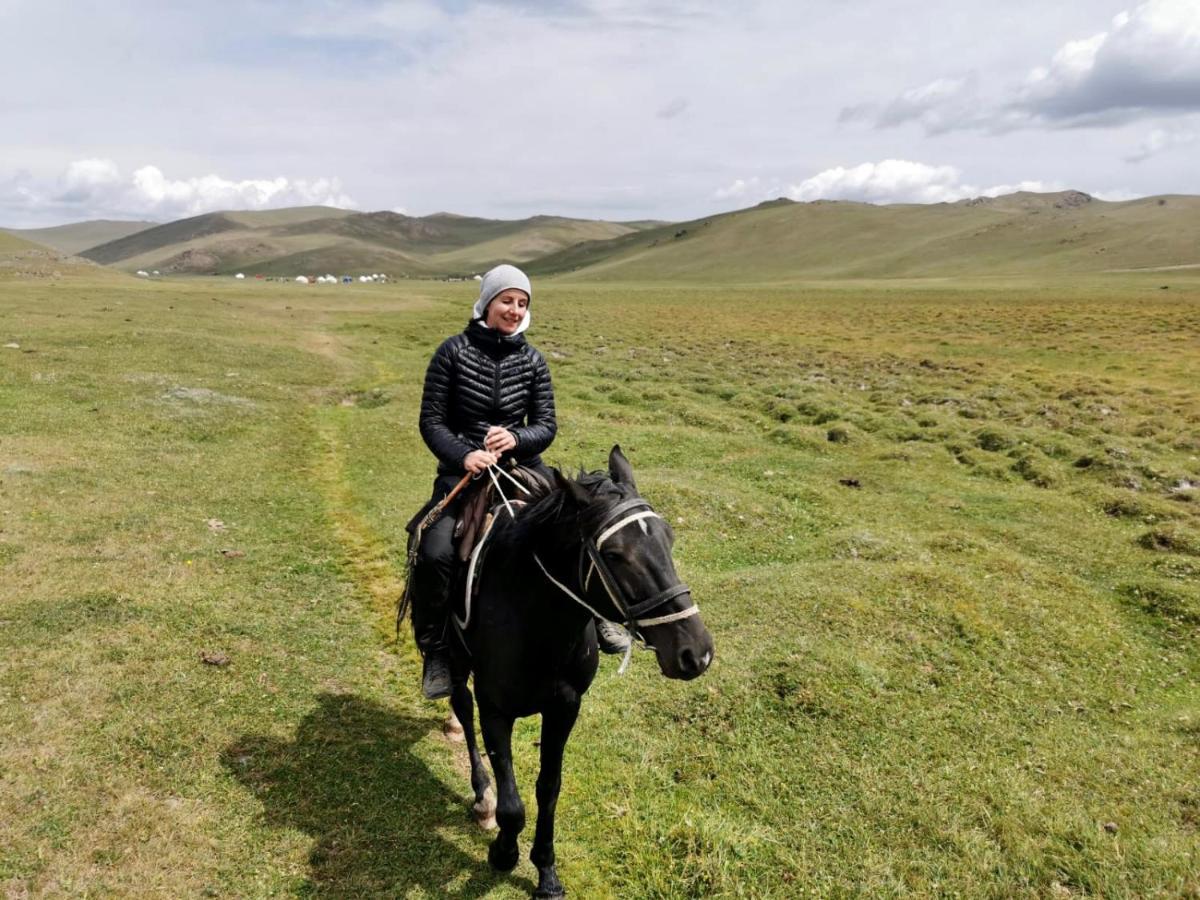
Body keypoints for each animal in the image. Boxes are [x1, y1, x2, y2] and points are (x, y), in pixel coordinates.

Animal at [448, 448, 710, 897]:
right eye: (614, 555)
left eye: (668, 538)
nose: (697, 653)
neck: (536, 623)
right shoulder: (494, 707)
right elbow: (512, 804)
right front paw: (503, 853)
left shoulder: (565, 707)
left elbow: (549, 788)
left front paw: (546, 872)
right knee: (461, 709)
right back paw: (481, 795)